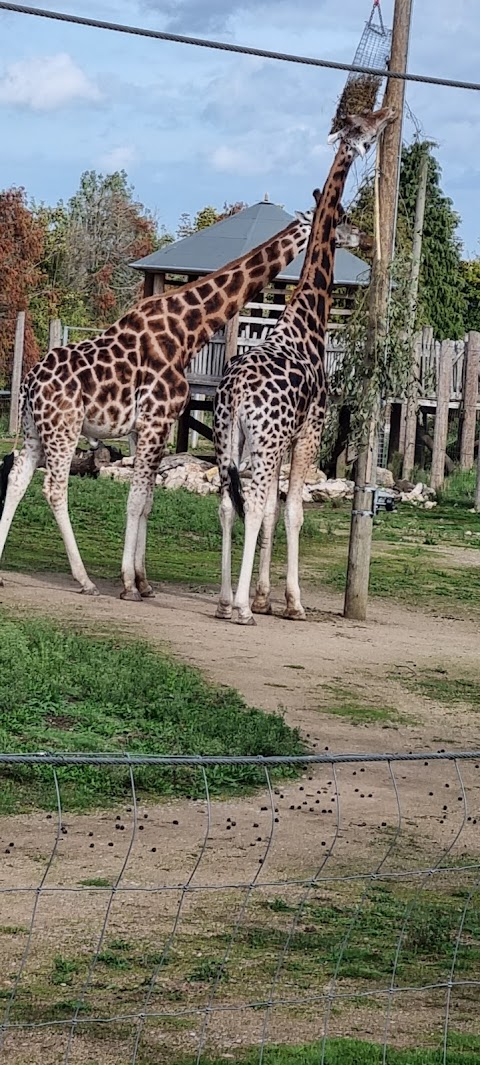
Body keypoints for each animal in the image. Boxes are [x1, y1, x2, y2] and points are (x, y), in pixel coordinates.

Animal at [0, 201, 357, 600]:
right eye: (341, 220)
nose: (359, 236)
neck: (188, 331)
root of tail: (28, 383)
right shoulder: (156, 420)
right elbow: (137, 498)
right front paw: (129, 583)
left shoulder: (145, 428)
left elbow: (147, 500)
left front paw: (143, 581)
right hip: (64, 428)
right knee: (54, 489)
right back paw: (85, 580)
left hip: (35, 430)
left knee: (17, 477)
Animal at [213, 105, 393, 621]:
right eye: (367, 125)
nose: (389, 114)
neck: (306, 317)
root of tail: (235, 393)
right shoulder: (309, 430)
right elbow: (291, 509)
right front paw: (289, 602)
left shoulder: (285, 438)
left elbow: (274, 510)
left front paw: (263, 594)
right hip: (264, 439)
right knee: (252, 504)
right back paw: (241, 608)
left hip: (226, 437)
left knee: (229, 504)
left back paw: (224, 600)